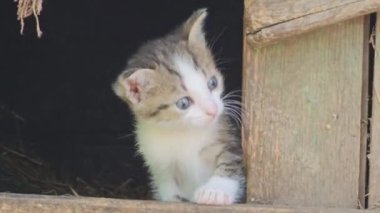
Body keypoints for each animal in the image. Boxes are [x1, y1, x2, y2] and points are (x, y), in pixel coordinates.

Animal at [111, 8, 245, 205]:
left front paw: (215, 191)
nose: (213, 110)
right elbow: (169, 190)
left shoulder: (228, 136)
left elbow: (230, 159)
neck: (183, 131)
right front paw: (175, 200)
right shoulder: (160, 163)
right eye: (183, 103)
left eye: (212, 83)